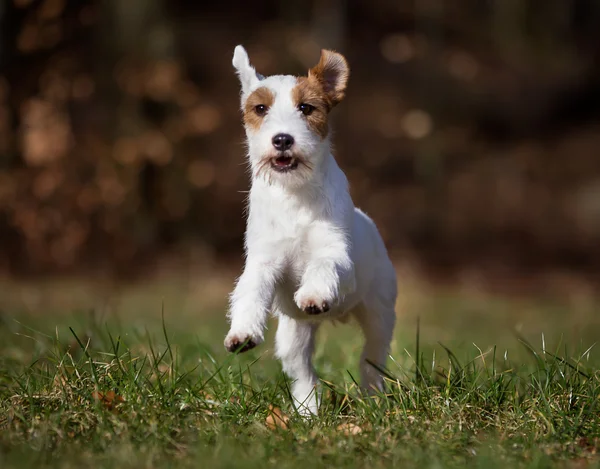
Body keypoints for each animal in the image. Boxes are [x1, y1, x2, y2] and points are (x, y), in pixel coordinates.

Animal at [223, 45, 396, 414]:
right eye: (260, 108)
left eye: (306, 107)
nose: (282, 139)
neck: (294, 195)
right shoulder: (264, 261)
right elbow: (250, 291)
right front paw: (242, 332)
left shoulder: (335, 253)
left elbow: (322, 265)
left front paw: (314, 294)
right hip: (294, 336)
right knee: (304, 373)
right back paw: (306, 411)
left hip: (378, 314)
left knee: (371, 360)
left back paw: (372, 397)